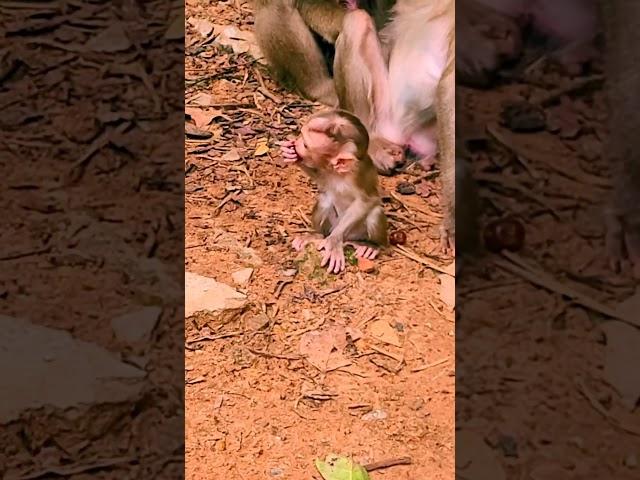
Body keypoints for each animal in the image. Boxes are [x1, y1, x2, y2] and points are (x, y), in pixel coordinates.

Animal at [282, 109, 390, 274]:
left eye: (306, 145)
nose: (297, 142)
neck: (341, 172)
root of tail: (350, 238)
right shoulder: (328, 171)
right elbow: (321, 180)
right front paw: (292, 155)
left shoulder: (358, 175)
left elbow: (368, 200)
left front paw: (334, 240)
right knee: (325, 201)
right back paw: (317, 235)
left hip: (357, 232)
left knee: (374, 212)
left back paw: (372, 246)